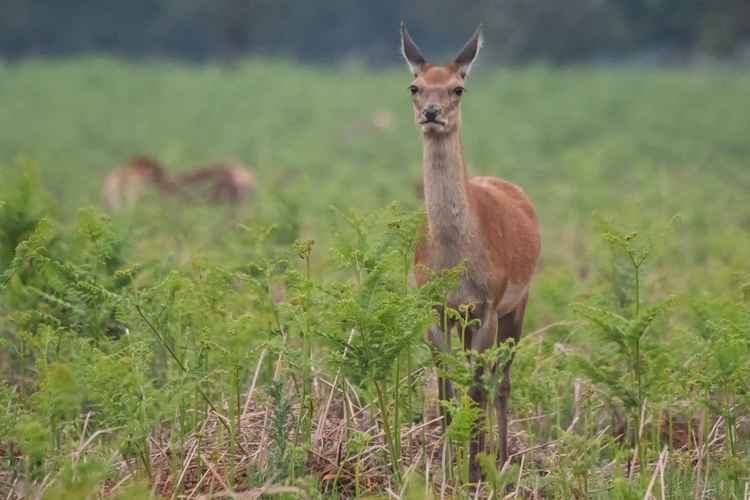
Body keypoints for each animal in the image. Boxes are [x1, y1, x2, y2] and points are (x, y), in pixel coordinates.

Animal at [402, 23, 544, 480]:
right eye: (414, 85)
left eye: (458, 87)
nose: (431, 112)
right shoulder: (435, 308)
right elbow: (446, 389)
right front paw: (448, 464)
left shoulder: (488, 303)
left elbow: (479, 387)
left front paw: (476, 468)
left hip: (518, 303)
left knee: (502, 381)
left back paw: (501, 455)